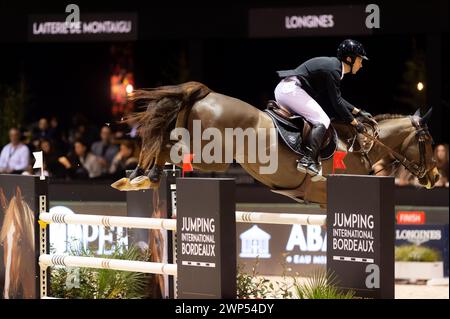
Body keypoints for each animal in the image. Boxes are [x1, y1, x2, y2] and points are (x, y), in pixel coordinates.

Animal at [110, 81, 442, 204]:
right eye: (427, 139)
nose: (436, 177)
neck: (363, 148)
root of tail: (205, 93)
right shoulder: (324, 194)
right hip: (212, 157)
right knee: (169, 148)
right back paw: (144, 176)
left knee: (163, 142)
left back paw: (138, 177)